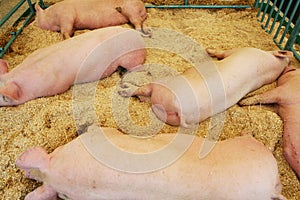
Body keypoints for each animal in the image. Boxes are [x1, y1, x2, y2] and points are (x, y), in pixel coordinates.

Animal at [121, 47, 290, 127]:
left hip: (162, 86)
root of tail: (179, 109)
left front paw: (209, 50)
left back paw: (124, 88)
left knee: (143, 90)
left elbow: (222, 53)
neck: (272, 64)